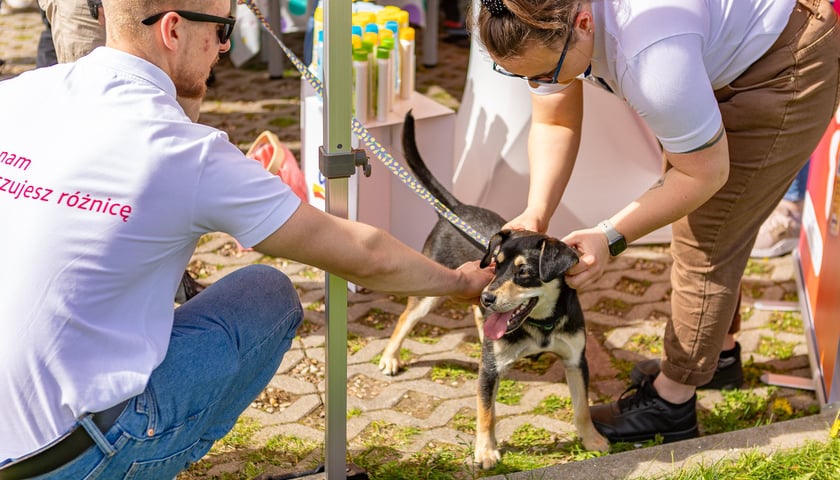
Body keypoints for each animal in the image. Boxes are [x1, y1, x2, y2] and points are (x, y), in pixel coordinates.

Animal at [380, 111, 612, 468]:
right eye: (495, 266)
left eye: (524, 272)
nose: (488, 295)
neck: (541, 325)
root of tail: (456, 208)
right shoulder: (488, 373)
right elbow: (486, 412)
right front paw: (486, 451)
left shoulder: (576, 360)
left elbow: (582, 407)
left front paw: (592, 439)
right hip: (430, 291)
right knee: (407, 317)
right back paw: (390, 357)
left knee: (477, 316)